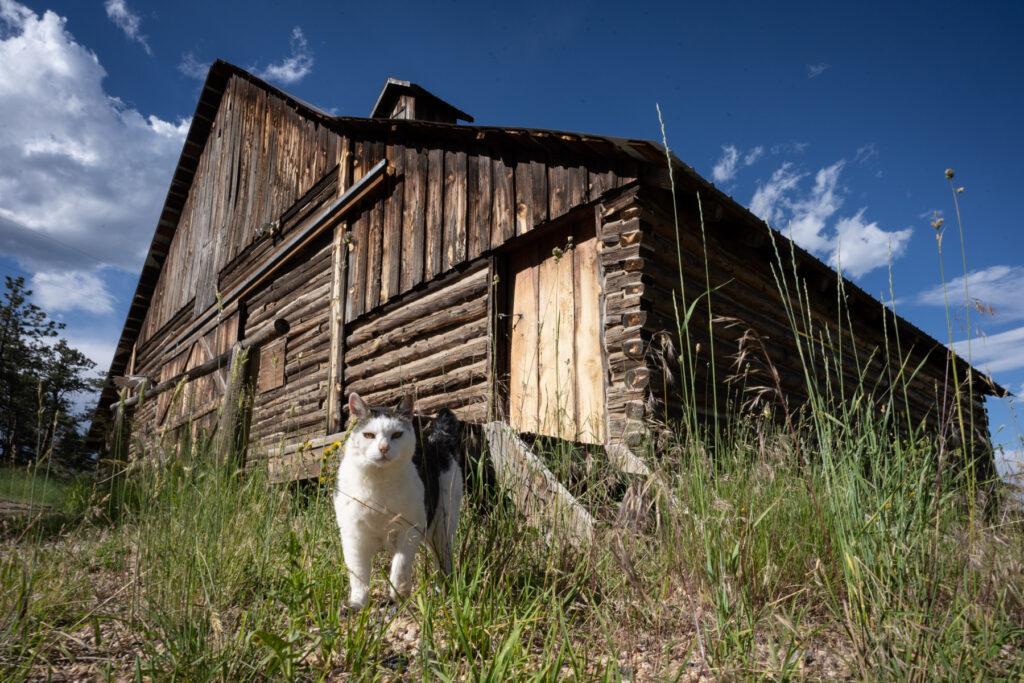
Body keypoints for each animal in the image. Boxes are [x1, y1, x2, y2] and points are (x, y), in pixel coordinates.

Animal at [331, 393, 464, 610]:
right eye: (369, 435)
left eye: (396, 435)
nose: (383, 448)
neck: (379, 485)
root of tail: (436, 439)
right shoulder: (353, 536)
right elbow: (358, 575)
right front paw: (357, 604)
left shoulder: (409, 531)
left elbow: (400, 567)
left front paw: (398, 595)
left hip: (441, 528)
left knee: (443, 562)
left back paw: (444, 591)